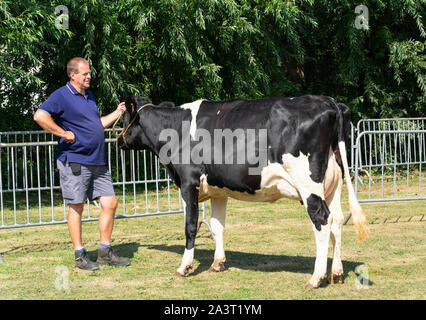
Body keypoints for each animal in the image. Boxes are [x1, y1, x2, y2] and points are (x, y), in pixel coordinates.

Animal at [117, 94, 370, 288]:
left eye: (124, 117)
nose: (118, 139)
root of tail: (330, 101)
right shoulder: (218, 190)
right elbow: (217, 226)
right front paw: (218, 263)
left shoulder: (189, 183)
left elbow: (190, 227)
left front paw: (184, 267)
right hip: (332, 184)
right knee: (337, 221)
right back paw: (336, 273)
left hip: (308, 185)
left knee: (322, 221)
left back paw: (316, 278)